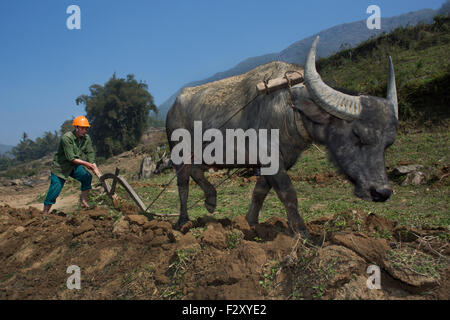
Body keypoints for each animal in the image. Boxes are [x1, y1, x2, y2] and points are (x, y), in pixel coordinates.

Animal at [166, 36, 398, 239]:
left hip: (203, 155)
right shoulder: (272, 160)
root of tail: (172, 110)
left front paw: (251, 222)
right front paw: (303, 234)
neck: (291, 109)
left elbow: (260, 192)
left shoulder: (280, 160)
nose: (381, 192)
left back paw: (211, 200)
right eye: (358, 136)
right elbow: (289, 195)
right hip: (179, 153)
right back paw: (182, 221)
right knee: (183, 183)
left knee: (196, 172)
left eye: (388, 143)